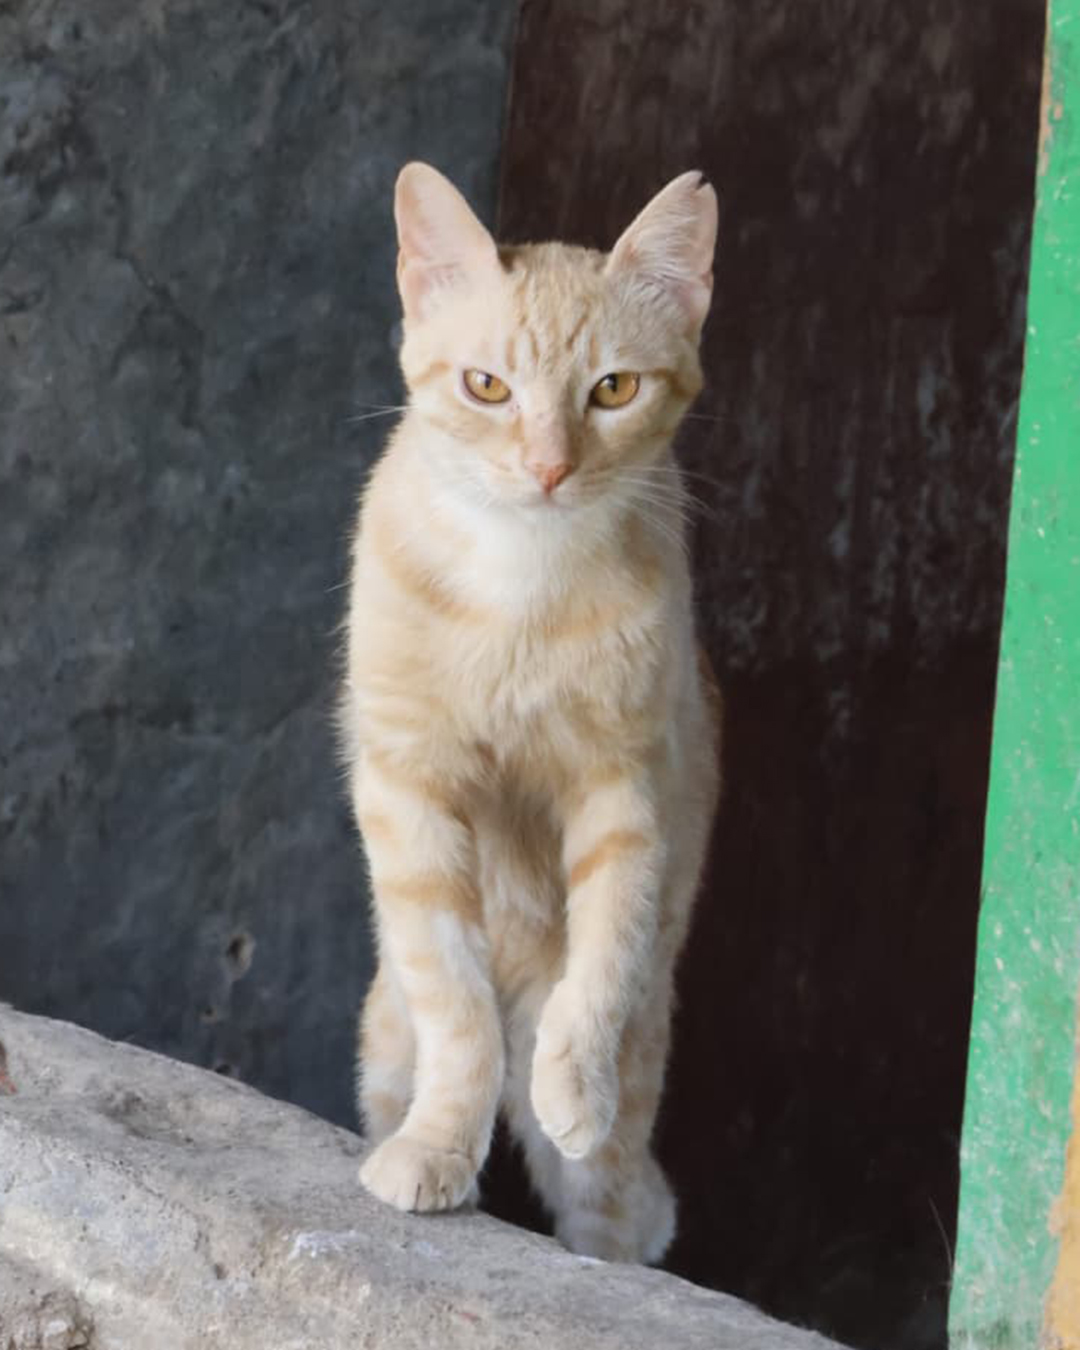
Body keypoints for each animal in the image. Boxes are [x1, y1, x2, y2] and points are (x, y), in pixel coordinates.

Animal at [340, 162, 721, 1264]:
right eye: (487, 387)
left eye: (614, 389)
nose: (549, 468)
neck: (520, 587)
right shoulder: (409, 787)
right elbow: (454, 998)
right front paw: (437, 1149)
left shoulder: (625, 790)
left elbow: (603, 957)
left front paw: (571, 1082)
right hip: (382, 1045)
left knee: (613, 1208)